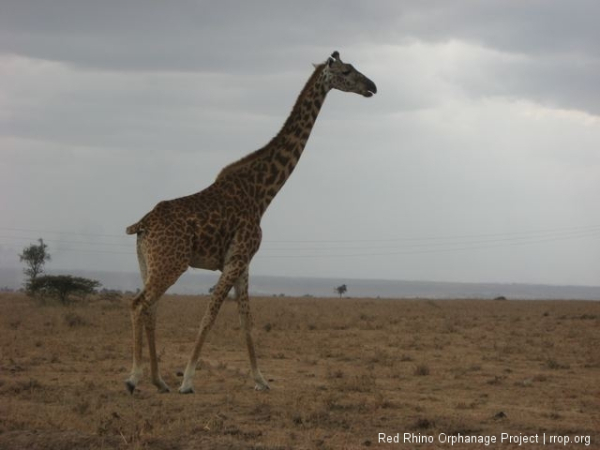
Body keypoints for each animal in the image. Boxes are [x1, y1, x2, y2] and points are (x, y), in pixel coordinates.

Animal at [124, 50, 378, 394]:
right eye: (347, 71)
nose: (372, 87)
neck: (262, 193)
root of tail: (142, 225)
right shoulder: (237, 257)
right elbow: (210, 314)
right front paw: (188, 380)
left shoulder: (242, 262)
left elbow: (247, 321)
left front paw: (260, 380)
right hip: (170, 262)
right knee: (139, 304)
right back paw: (134, 378)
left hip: (147, 262)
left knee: (150, 308)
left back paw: (159, 380)